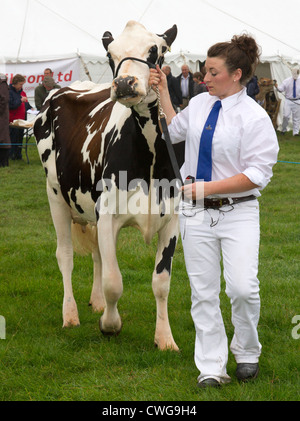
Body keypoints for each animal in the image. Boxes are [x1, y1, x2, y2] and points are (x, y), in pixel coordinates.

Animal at [34, 22, 182, 352]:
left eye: (155, 49)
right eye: (109, 55)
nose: (124, 83)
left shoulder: (172, 219)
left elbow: (162, 283)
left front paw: (165, 338)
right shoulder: (108, 216)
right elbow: (114, 282)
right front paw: (110, 325)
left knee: (97, 255)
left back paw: (97, 302)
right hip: (55, 196)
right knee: (65, 255)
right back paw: (71, 314)